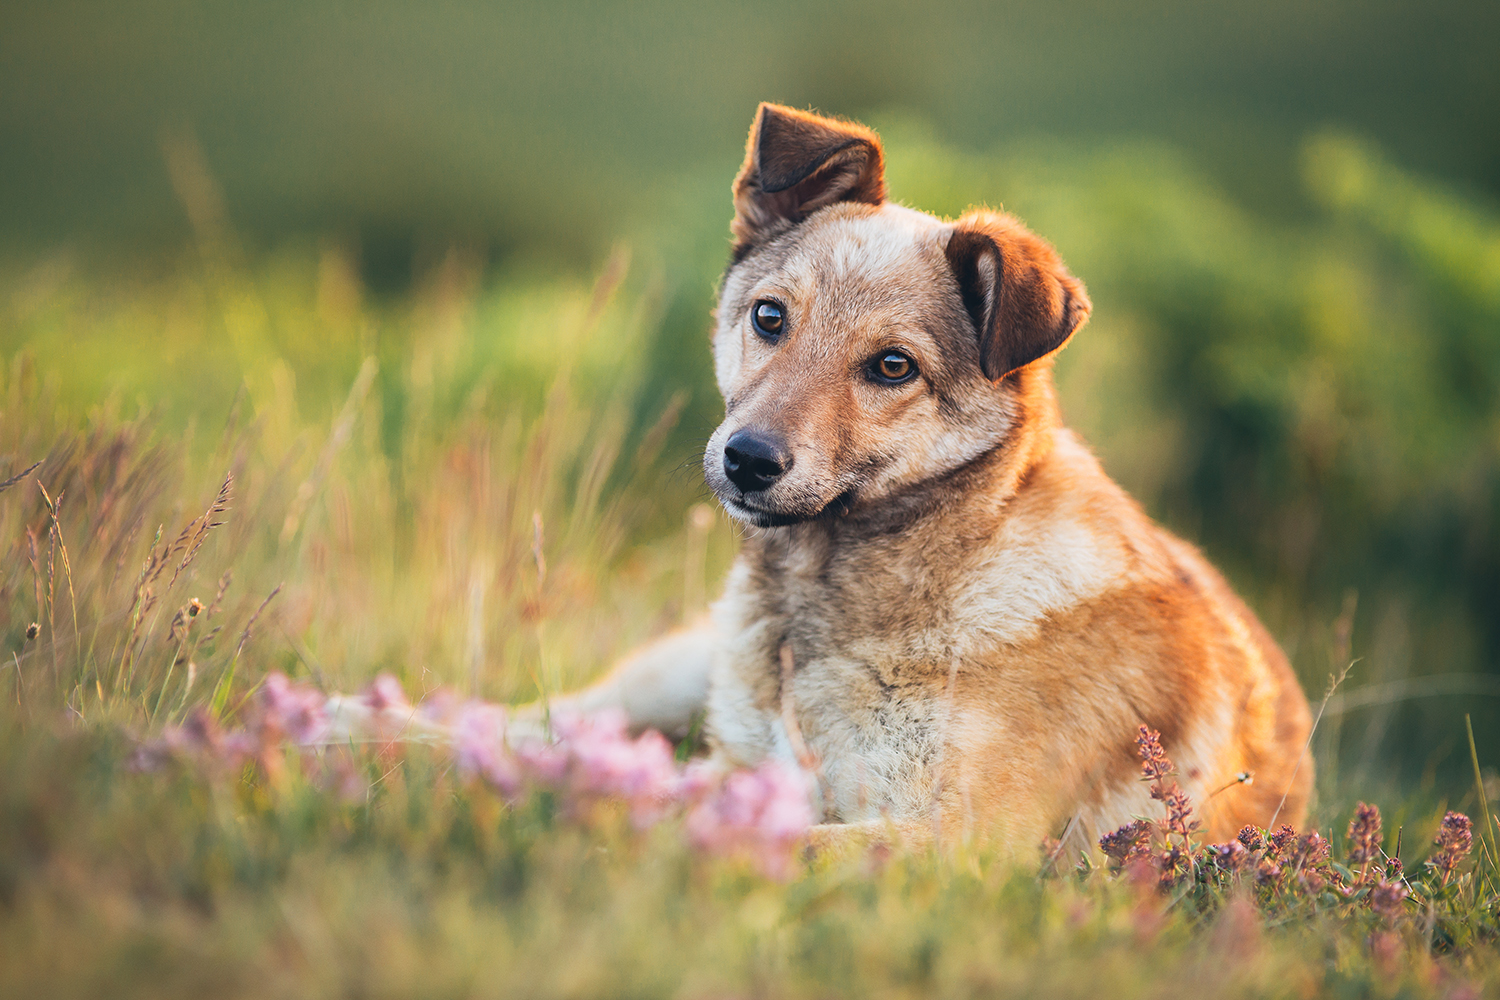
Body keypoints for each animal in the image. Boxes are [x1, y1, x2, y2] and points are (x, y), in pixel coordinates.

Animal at [540, 105, 1314, 863]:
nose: (748, 460)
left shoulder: (961, 840)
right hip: (675, 673)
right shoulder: (742, 760)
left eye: (893, 366)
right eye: (769, 316)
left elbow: (763, 834)